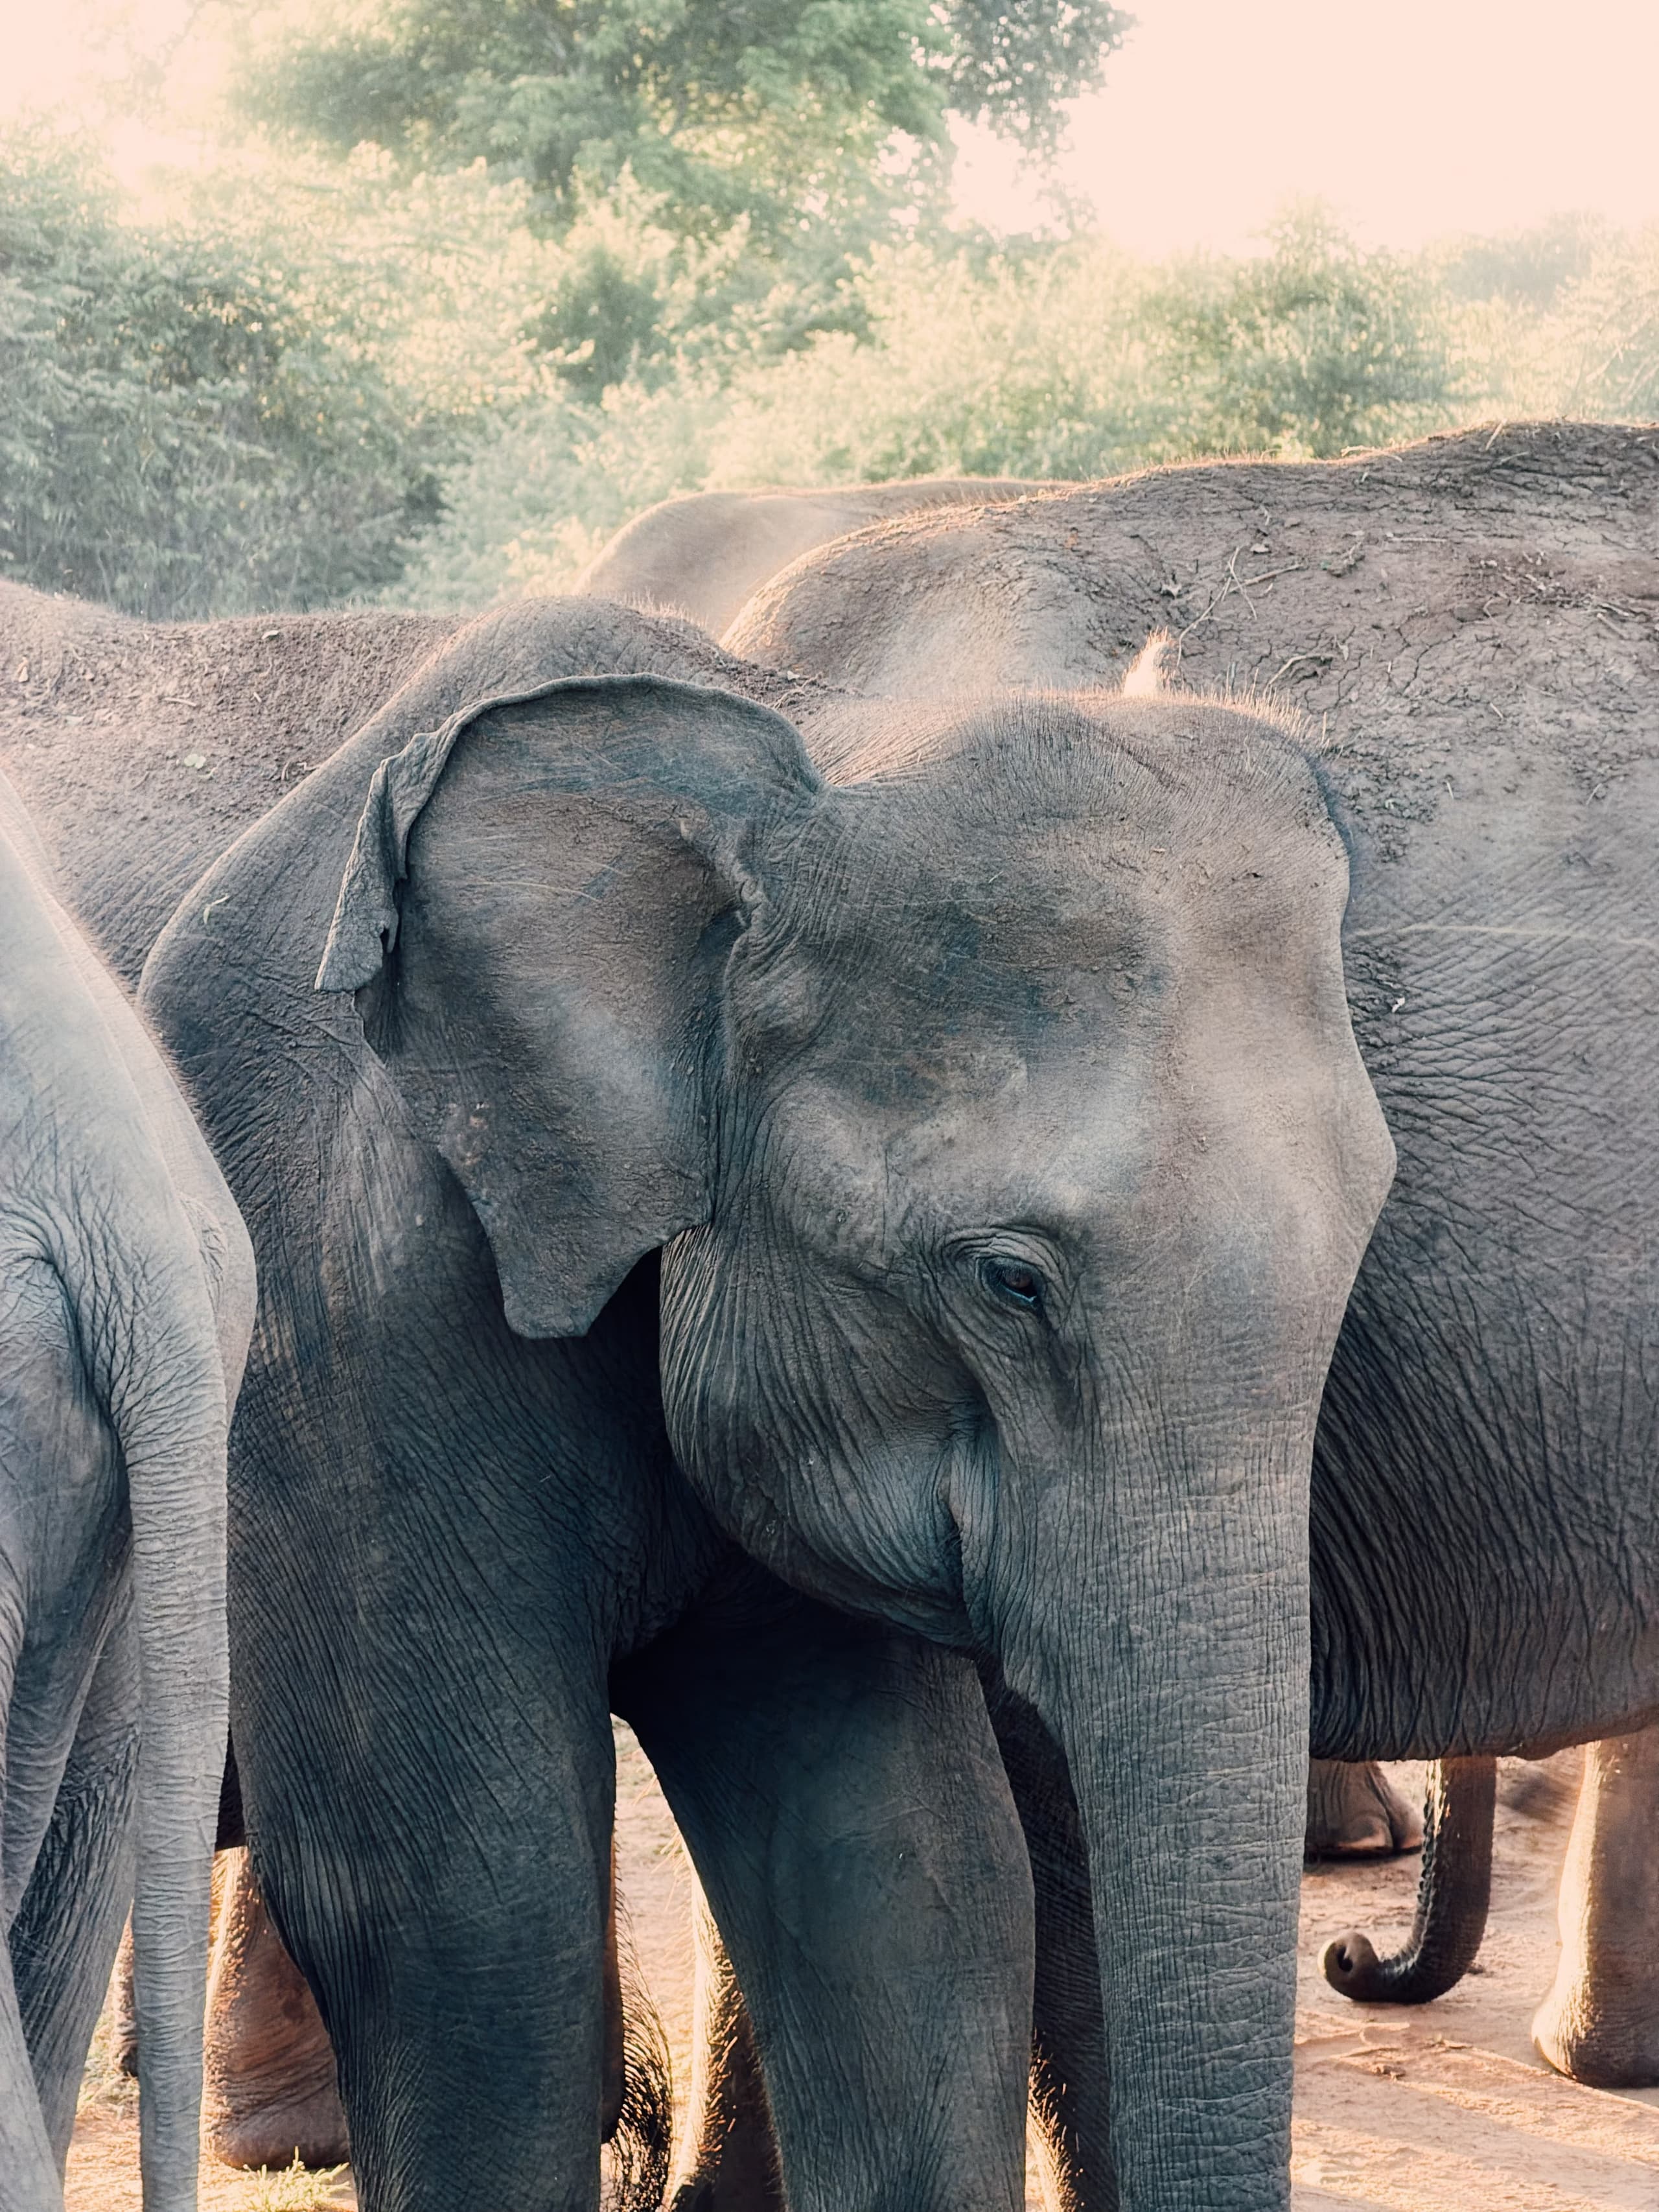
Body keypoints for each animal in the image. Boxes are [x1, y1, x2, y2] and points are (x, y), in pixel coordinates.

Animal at [120, 585, 1392, 2212]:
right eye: (1009, 1280)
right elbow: (464, 1925)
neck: (799, 740)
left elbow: (902, 1881)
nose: (1347, 1948)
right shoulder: (332, 1306)